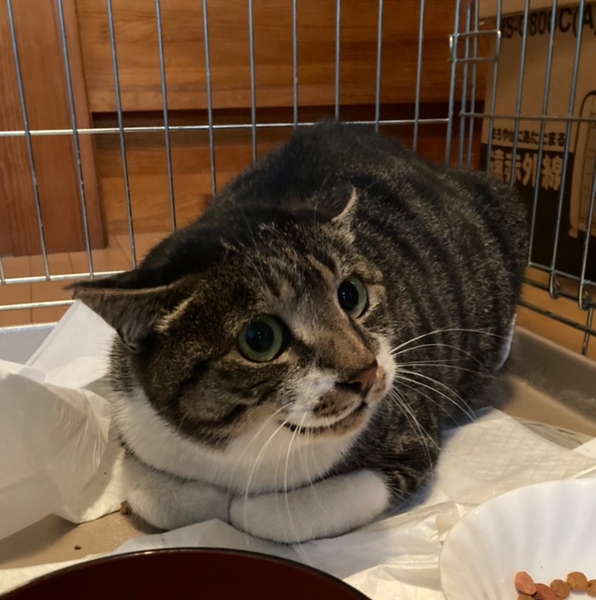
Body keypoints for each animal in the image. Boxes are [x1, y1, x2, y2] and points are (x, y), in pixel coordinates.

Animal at [71, 120, 528, 544]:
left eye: (350, 295)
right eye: (259, 338)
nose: (365, 372)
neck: (241, 454)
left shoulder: (408, 443)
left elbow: (287, 512)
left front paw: (242, 509)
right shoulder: (133, 424)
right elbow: (152, 494)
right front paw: (209, 500)